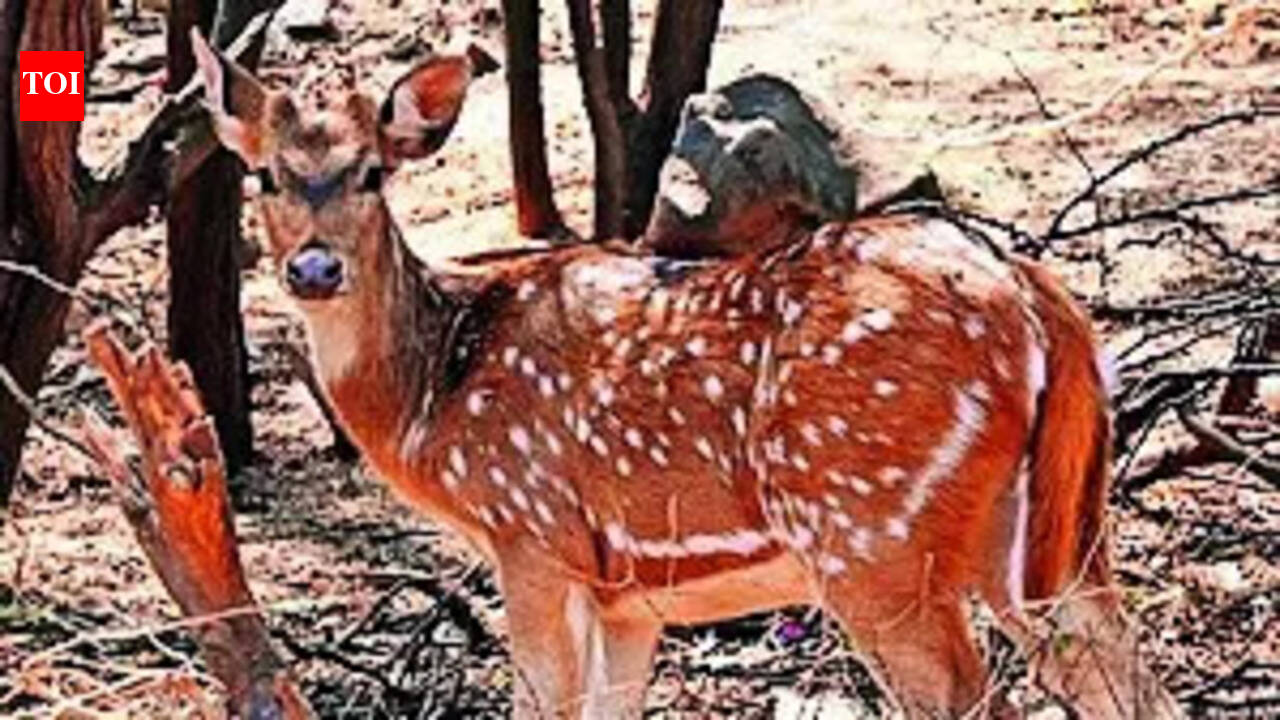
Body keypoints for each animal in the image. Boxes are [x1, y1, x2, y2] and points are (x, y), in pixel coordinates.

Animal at [191, 31, 1182, 719]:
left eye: (369, 174)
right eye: (266, 176)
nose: (315, 268)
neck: (436, 393)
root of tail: (1036, 295)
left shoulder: (532, 534)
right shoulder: (627, 596)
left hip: (872, 536)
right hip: (1047, 533)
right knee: (1130, 683)